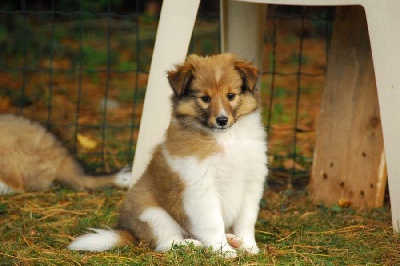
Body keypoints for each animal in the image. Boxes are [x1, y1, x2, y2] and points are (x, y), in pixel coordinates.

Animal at [69, 53, 268, 258]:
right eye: (205, 98)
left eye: (231, 96)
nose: (222, 120)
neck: (225, 138)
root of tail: (131, 231)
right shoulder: (202, 188)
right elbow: (213, 223)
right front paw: (223, 251)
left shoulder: (251, 182)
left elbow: (247, 219)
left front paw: (248, 245)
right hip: (153, 214)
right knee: (165, 243)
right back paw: (193, 244)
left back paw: (232, 239)